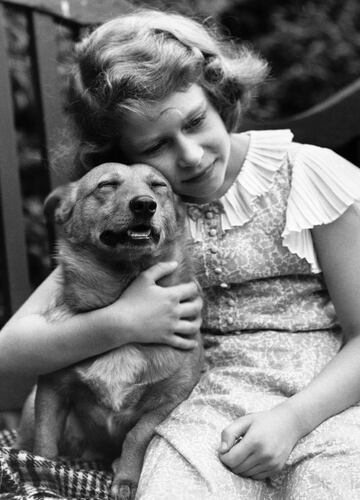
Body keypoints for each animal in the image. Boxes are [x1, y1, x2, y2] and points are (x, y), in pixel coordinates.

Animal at [15, 162, 202, 500]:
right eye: (107, 185)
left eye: (158, 186)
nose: (145, 204)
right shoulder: (50, 390)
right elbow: (44, 446)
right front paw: (42, 476)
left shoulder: (172, 398)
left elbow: (138, 435)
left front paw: (126, 478)